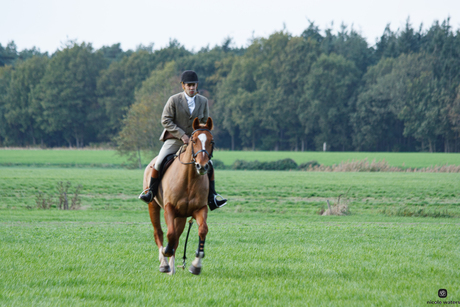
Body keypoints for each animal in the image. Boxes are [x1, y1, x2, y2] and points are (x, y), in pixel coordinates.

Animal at [143, 116, 215, 276]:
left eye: (211, 141)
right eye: (194, 140)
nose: (202, 166)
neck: (189, 179)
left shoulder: (200, 209)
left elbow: (203, 230)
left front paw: (196, 265)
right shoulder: (169, 208)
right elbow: (170, 234)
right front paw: (166, 252)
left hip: (181, 216)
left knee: (176, 238)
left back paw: (172, 267)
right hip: (153, 206)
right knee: (159, 233)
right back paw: (164, 264)